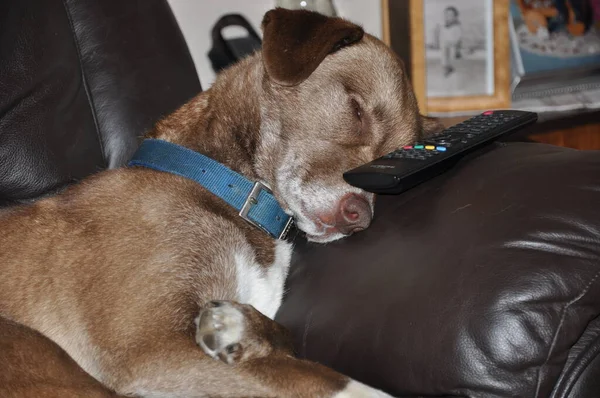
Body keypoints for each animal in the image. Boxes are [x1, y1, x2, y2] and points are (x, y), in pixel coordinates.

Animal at [0, 7, 440, 398]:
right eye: (356, 109)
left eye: (393, 158)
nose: (358, 217)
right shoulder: (150, 349)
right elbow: (331, 381)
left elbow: (286, 340)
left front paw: (236, 327)